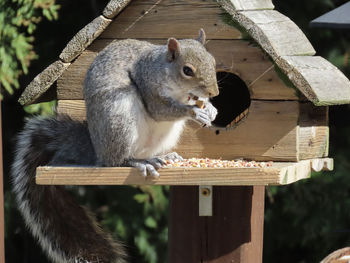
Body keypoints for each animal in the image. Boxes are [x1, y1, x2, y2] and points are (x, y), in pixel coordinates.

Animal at [11, 29, 219, 263]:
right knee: (117, 160)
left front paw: (210, 108)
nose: (214, 92)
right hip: (119, 119)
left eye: (213, 60)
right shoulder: (148, 87)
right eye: (187, 70)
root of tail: (98, 151)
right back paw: (139, 162)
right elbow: (161, 111)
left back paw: (166, 156)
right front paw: (195, 111)